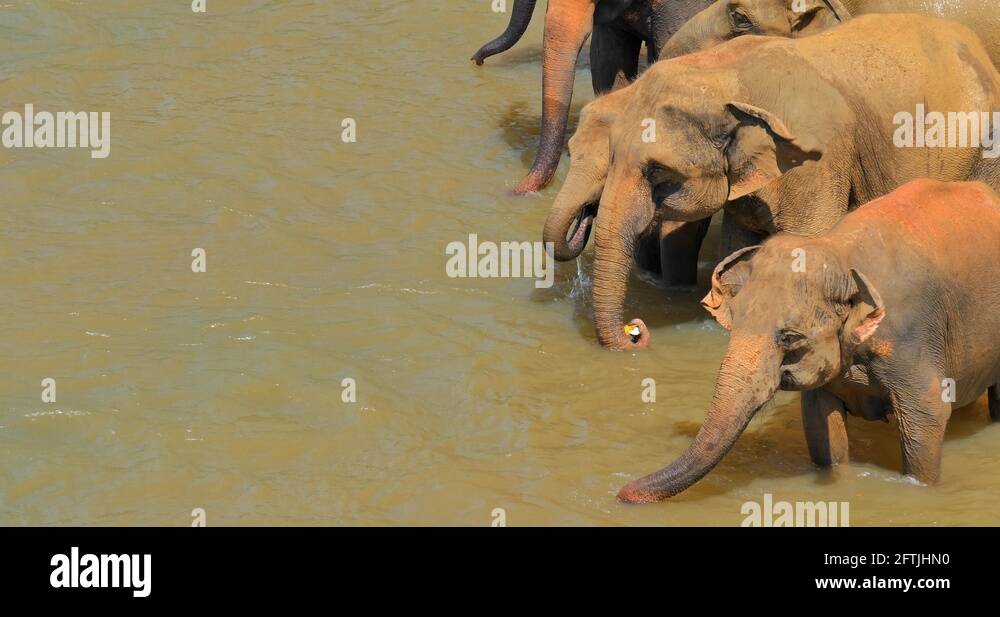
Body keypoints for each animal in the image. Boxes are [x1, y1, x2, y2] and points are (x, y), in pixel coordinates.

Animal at [551, 14, 1000, 350]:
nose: (636, 332)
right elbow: (738, 246)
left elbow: (808, 243)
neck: (725, 74)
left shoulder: (818, 163)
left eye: (658, 171)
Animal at [617, 179, 1000, 503]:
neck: (839, 253)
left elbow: (927, 417)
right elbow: (820, 423)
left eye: (789, 337)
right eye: (735, 325)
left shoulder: (910, 339)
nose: (621, 492)